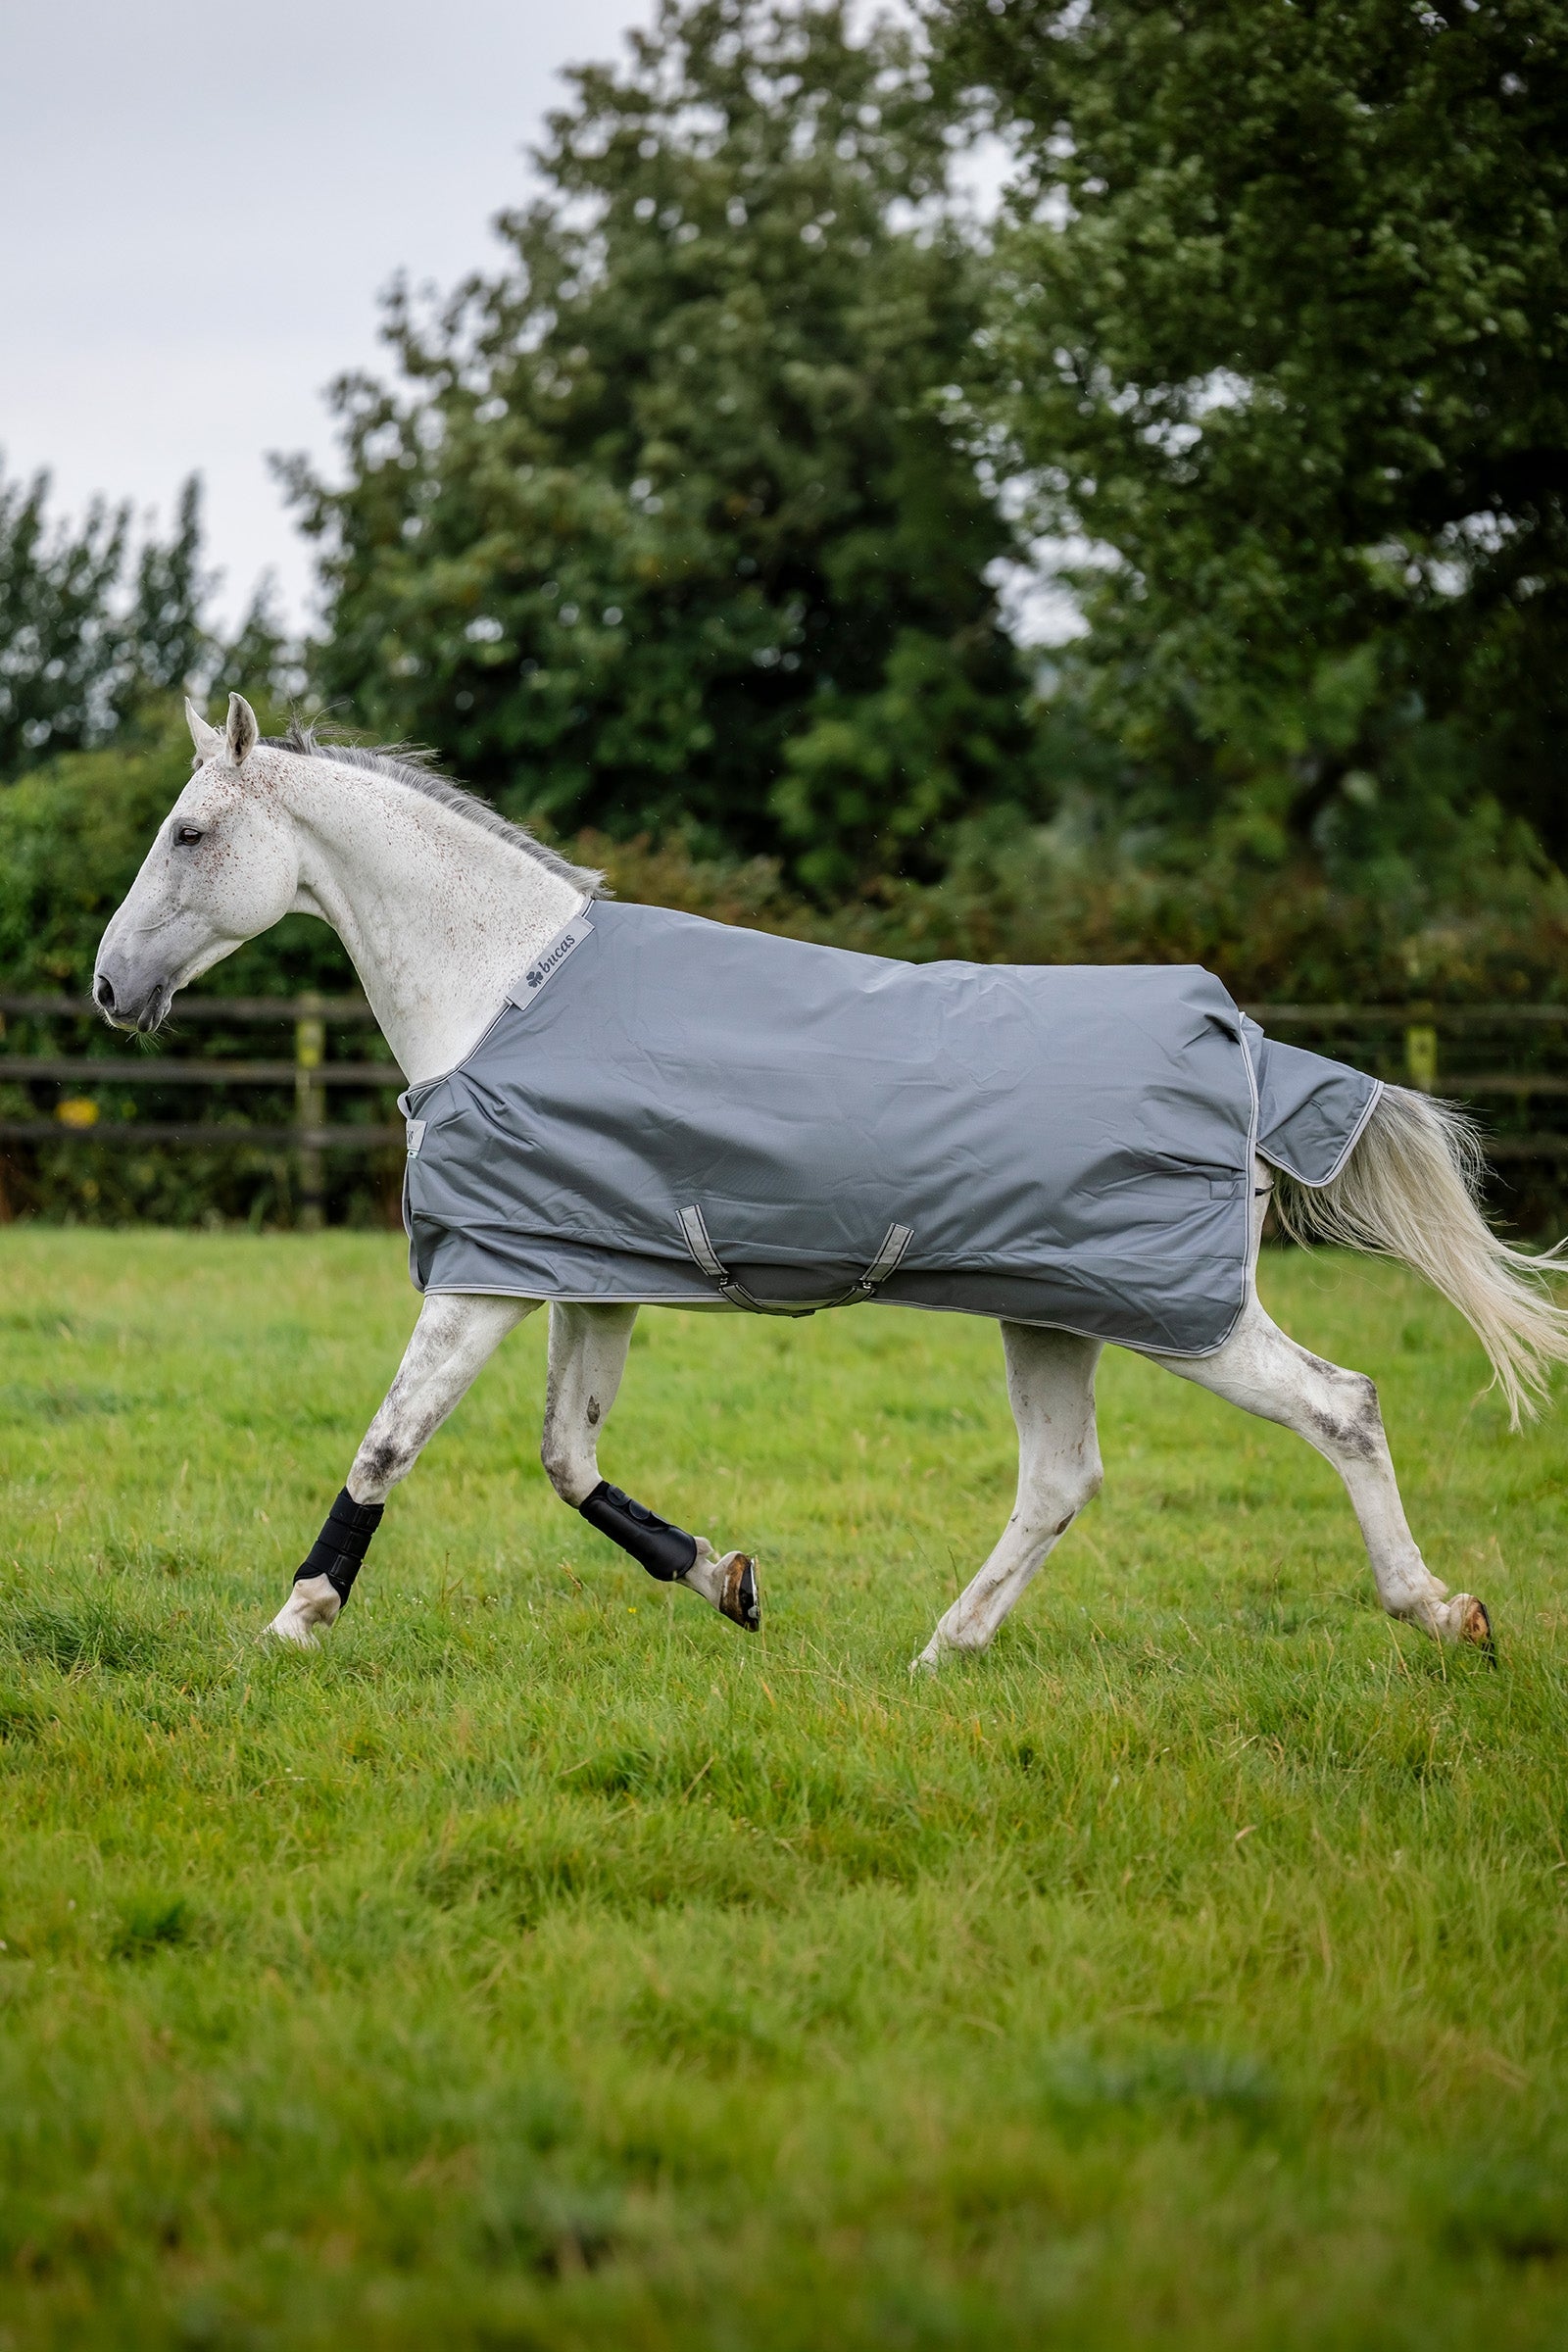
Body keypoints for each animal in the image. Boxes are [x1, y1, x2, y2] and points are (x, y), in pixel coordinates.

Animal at [91, 693, 1568, 1667]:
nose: (110, 989)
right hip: (1053, 1313)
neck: (502, 990)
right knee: (1061, 1480)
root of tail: (1255, 1050)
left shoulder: (486, 1278)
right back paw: (944, 1650)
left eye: (189, 832)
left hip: (1183, 1316)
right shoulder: (585, 1276)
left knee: (1341, 1410)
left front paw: (297, 1616)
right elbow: (569, 1462)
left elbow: (390, 1442)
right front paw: (726, 1581)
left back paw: (1442, 1611)